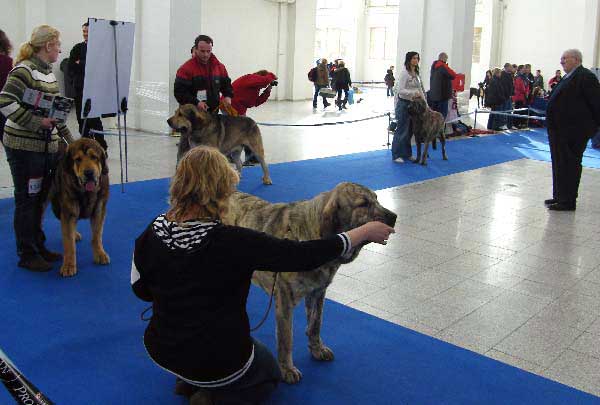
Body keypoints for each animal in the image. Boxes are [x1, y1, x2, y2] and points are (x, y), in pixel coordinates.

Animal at [49, 137, 110, 276]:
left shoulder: (99, 209)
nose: (89, 172)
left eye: (94, 157)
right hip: (55, 205)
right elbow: (68, 242)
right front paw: (68, 265)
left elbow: (97, 235)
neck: (86, 192)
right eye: (78, 159)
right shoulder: (68, 211)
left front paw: (100, 254)